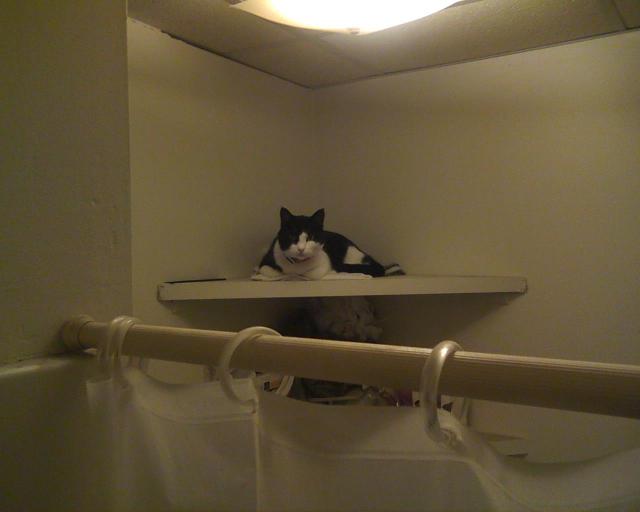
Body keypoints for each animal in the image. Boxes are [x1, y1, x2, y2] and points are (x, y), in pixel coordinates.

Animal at [256, 208, 400, 280]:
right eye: (292, 236)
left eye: (311, 237)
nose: (301, 249)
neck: (298, 265)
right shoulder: (266, 261)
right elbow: (270, 271)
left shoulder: (324, 262)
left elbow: (312, 274)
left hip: (351, 254)